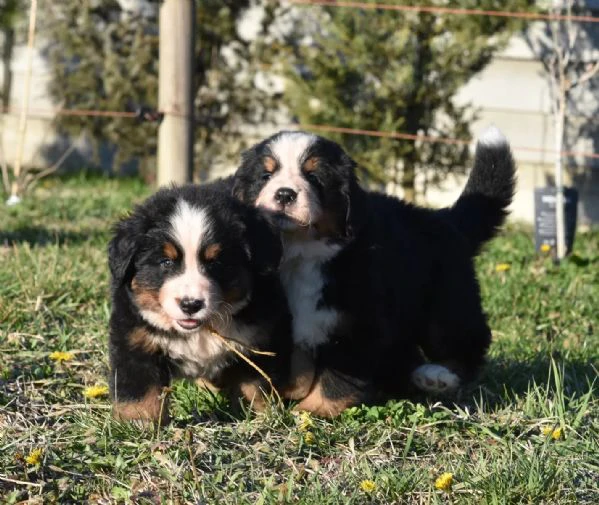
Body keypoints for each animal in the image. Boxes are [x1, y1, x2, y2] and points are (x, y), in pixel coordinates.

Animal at [110, 179, 296, 424]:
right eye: (166, 262)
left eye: (216, 262)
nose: (190, 304)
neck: (200, 332)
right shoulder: (135, 340)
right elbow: (139, 389)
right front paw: (137, 421)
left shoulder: (259, 339)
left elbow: (255, 383)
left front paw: (261, 416)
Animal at [233, 127, 516, 418]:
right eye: (265, 176)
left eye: (314, 176)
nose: (284, 194)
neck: (299, 254)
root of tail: (442, 218)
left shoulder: (357, 321)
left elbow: (336, 378)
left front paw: (310, 410)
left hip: (446, 303)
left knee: (465, 344)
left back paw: (438, 376)